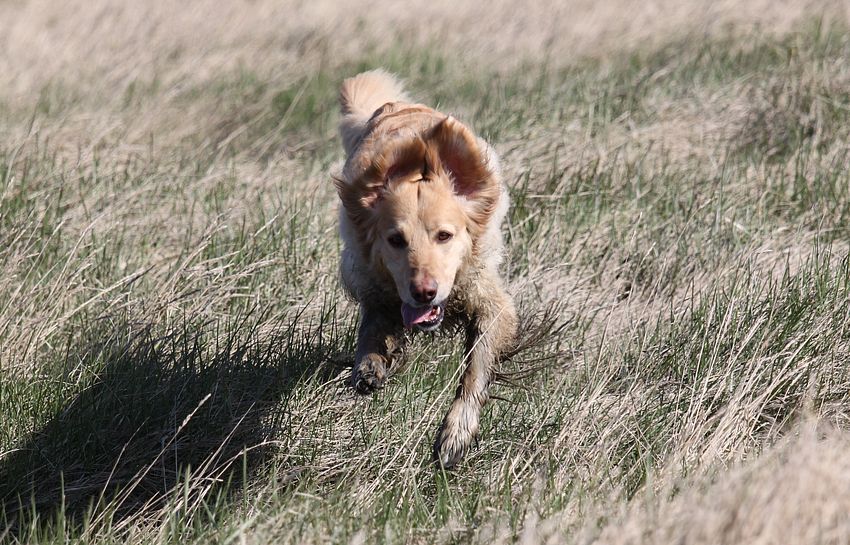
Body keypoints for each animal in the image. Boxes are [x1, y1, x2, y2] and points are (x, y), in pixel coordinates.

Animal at [334, 70, 517, 468]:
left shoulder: (490, 301)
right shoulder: (375, 288)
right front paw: (369, 365)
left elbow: (475, 372)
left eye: (444, 235)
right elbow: (371, 331)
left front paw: (455, 434)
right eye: (395, 240)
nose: (424, 292)